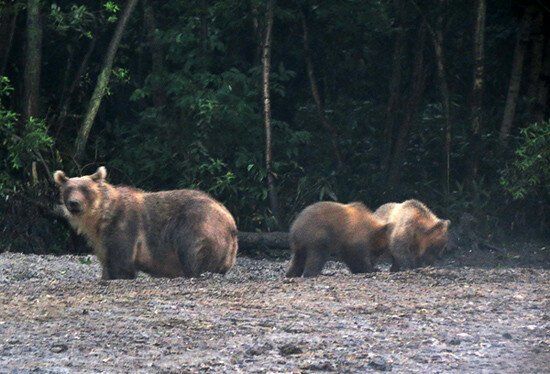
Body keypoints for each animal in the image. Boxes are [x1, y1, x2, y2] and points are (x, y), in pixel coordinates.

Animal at [52, 166, 239, 278]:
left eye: (85, 189)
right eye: (68, 189)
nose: (74, 203)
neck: (100, 217)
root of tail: (231, 221)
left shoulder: (124, 225)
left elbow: (122, 263)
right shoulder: (100, 239)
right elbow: (107, 262)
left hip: (198, 224)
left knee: (191, 250)